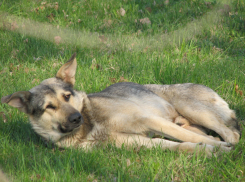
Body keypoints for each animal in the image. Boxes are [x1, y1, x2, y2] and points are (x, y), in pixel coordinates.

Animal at [0, 53, 240, 156]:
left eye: (67, 96)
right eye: (49, 107)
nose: (76, 118)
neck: (91, 126)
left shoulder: (149, 120)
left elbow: (189, 137)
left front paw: (217, 147)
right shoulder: (138, 141)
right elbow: (178, 144)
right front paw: (206, 150)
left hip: (191, 108)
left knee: (232, 134)